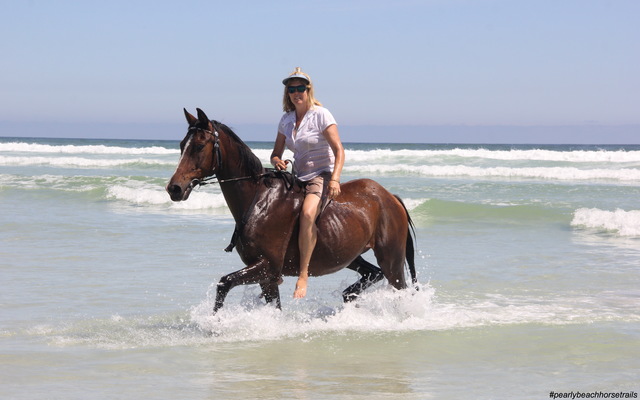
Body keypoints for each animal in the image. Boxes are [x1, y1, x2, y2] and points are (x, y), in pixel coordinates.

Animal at [166, 108, 416, 313]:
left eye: (199, 146)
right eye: (181, 145)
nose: (174, 188)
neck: (258, 201)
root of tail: (389, 197)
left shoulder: (267, 266)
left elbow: (224, 283)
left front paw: (216, 323)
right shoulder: (267, 277)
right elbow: (271, 305)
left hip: (391, 258)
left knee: (398, 286)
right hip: (351, 255)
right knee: (372, 274)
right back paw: (349, 296)